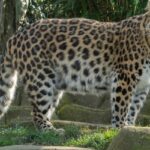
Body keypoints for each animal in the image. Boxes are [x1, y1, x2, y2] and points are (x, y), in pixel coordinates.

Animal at [0, 10, 150, 131]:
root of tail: (15, 37)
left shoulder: (143, 85)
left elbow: (133, 107)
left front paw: (129, 127)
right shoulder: (125, 77)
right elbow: (122, 106)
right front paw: (119, 128)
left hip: (54, 83)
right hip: (41, 79)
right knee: (37, 113)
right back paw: (51, 130)